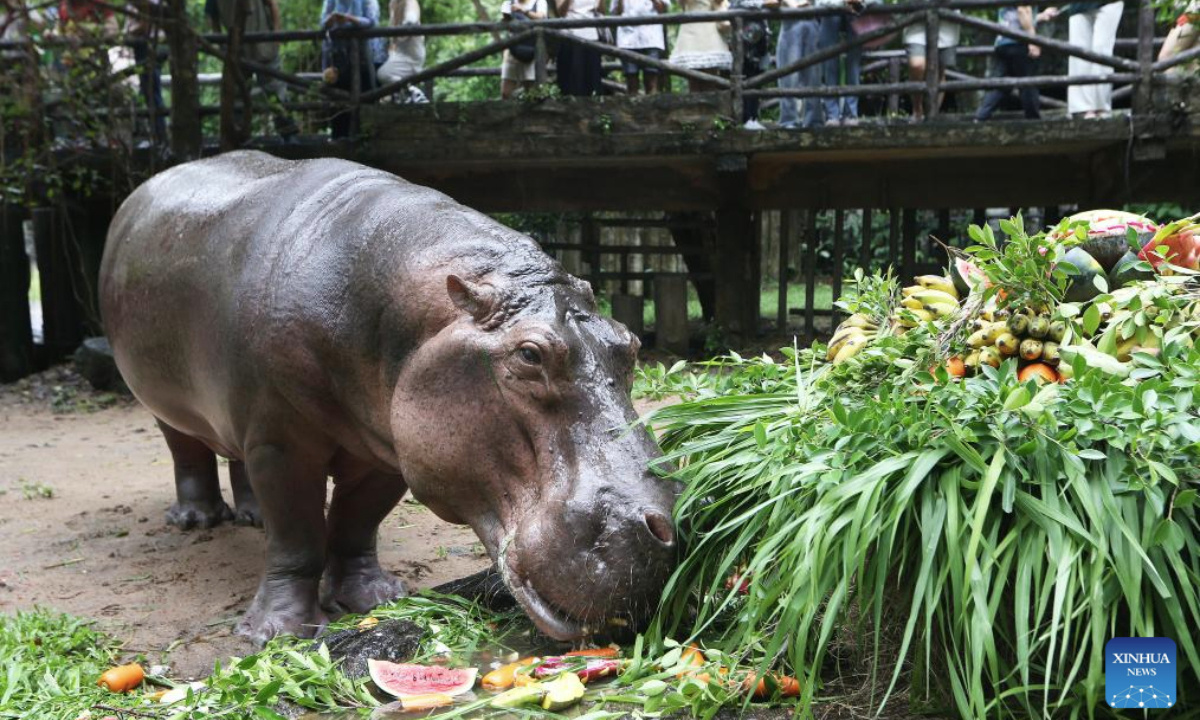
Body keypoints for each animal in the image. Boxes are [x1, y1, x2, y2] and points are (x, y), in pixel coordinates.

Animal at [99, 151, 677, 644]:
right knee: (187, 451)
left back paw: (251, 518)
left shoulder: (390, 450)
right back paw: (196, 520)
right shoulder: (281, 444)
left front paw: (376, 597)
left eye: (629, 342)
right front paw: (277, 633)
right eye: (530, 354)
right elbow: (298, 536)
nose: (668, 528)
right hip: (164, 402)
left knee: (233, 454)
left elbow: (357, 523)